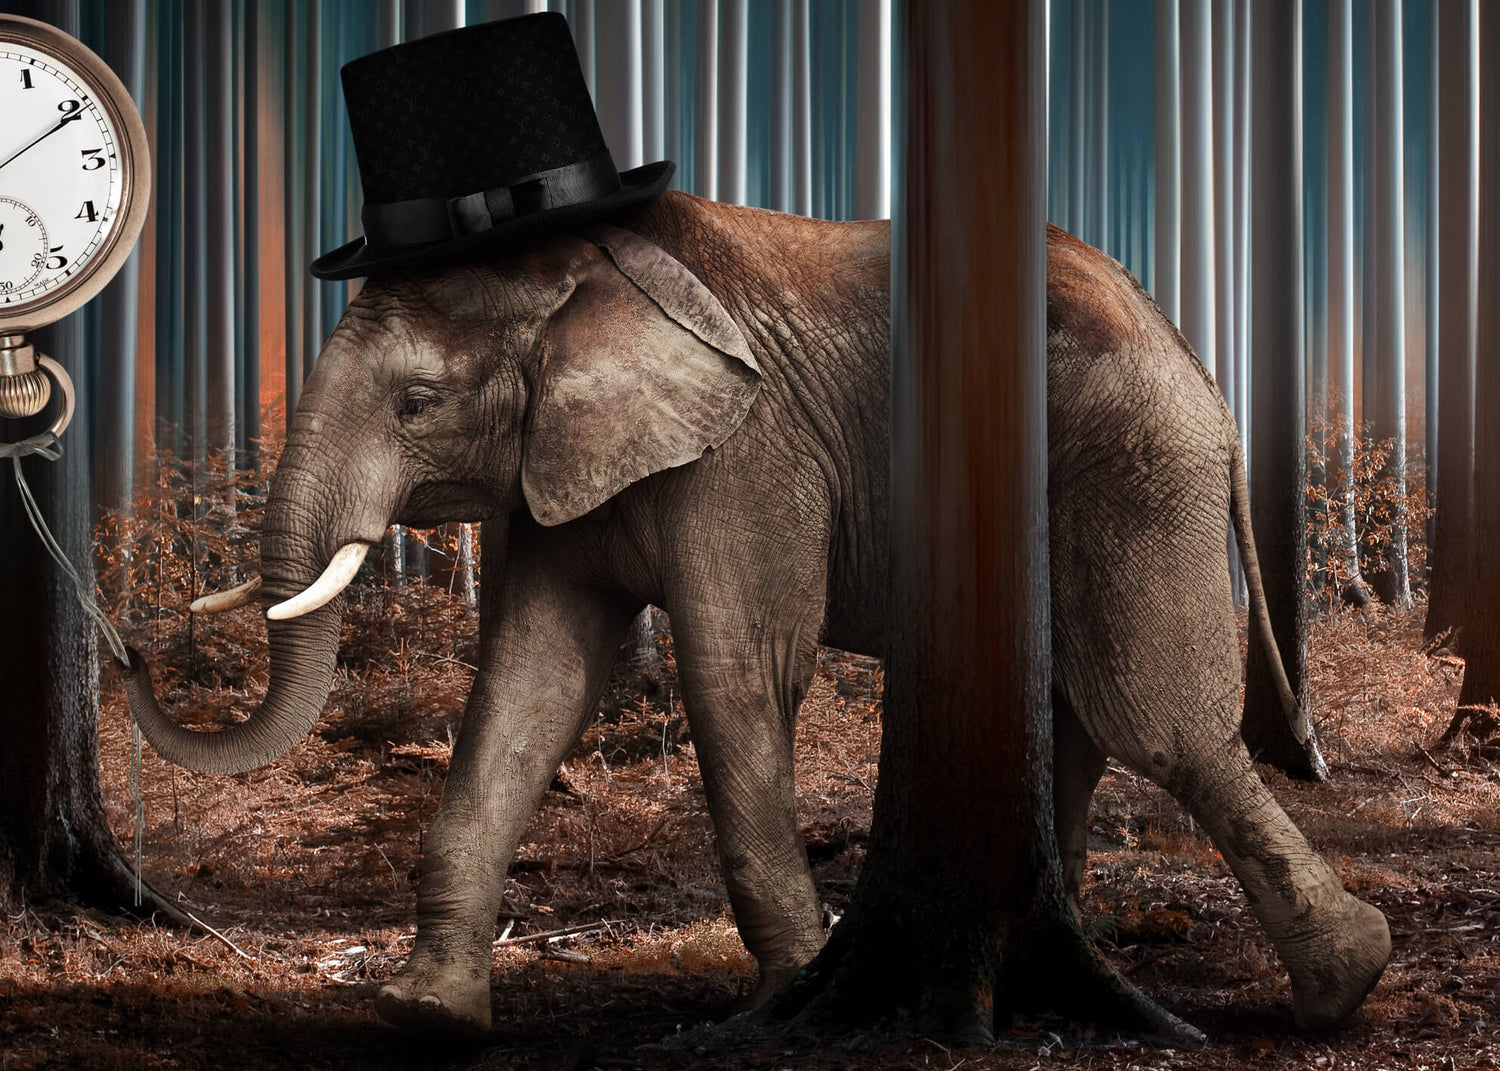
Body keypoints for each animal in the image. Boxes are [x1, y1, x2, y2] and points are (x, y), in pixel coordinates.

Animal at [120, 190, 1391, 1037]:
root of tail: (1194, 356)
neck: (579, 276)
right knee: (1078, 716)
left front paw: (787, 998)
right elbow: (528, 687)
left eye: (418, 403)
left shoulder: (748, 454)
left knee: (1157, 726)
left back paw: (1349, 984)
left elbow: (741, 673)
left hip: (1134, 468)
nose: (130, 653)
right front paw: (425, 1016)